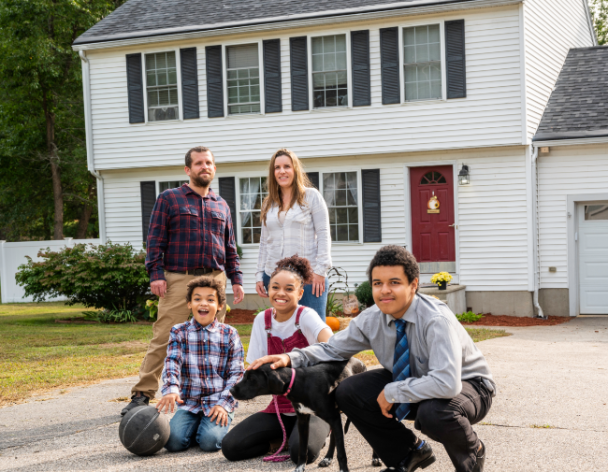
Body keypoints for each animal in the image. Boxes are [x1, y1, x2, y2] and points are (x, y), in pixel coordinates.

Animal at [230, 358, 378, 472]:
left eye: (251, 378)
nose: (231, 390)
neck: (299, 384)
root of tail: (360, 362)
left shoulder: (333, 417)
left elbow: (341, 453)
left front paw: (343, 470)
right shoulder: (303, 420)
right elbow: (302, 449)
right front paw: (300, 467)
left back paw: (375, 458)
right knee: (334, 438)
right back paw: (327, 458)